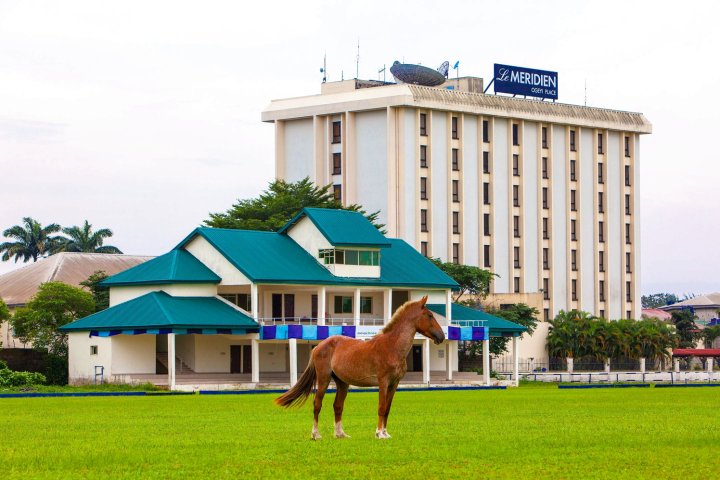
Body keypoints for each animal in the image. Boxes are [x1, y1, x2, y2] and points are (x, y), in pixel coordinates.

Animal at [276, 298, 444, 440]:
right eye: (429, 315)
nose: (441, 336)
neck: (392, 346)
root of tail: (319, 346)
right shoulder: (383, 382)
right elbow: (381, 407)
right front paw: (379, 434)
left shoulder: (394, 384)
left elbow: (388, 409)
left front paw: (385, 433)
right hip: (323, 379)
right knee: (317, 405)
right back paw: (315, 435)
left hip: (342, 383)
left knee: (338, 406)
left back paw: (340, 434)